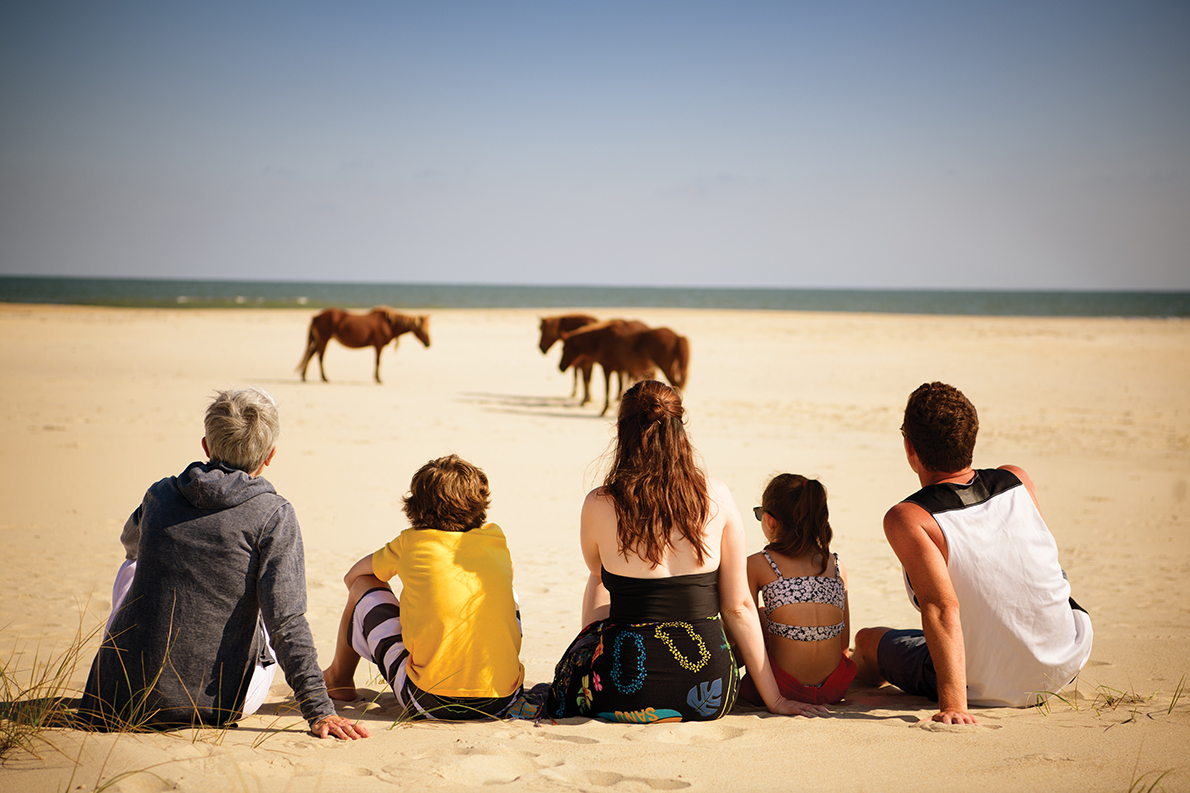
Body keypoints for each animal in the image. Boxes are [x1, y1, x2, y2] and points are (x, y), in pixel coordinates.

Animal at [297, 307, 430, 384]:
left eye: (428, 327)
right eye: (423, 330)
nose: (429, 343)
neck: (388, 324)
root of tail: (316, 317)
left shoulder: (377, 346)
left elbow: (377, 361)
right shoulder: (379, 345)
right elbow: (378, 361)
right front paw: (378, 379)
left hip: (320, 340)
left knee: (310, 354)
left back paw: (304, 376)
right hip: (324, 340)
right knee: (319, 357)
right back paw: (324, 378)